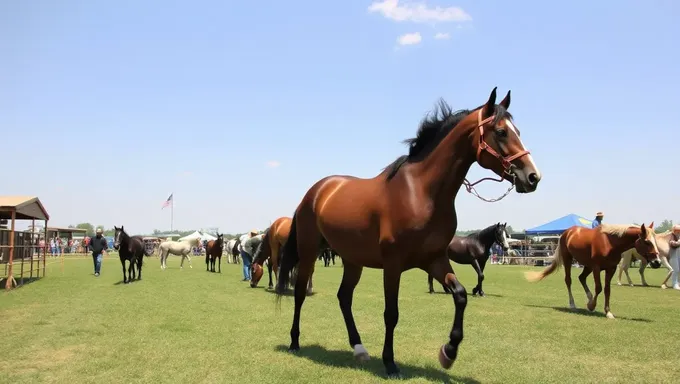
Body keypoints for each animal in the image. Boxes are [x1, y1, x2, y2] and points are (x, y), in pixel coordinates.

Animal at [272, 88, 540, 378]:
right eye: (501, 132)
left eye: (517, 131)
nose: (532, 176)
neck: (421, 193)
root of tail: (316, 191)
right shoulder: (393, 265)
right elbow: (391, 313)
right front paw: (390, 363)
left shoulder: (435, 260)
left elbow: (460, 295)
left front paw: (448, 352)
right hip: (310, 251)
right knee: (300, 292)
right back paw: (295, 341)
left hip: (352, 260)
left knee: (344, 297)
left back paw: (359, 348)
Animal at [524, 222, 660, 318]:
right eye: (647, 242)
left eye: (655, 241)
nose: (657, 262)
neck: (610, 243)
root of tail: (567, 232)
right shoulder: (596, 268)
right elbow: (598, 287)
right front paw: (591, 306)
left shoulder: (611, 269)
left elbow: (607, 289)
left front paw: (608, 312)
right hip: (568, 260)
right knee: (568, 280)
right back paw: (573, 304)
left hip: (587, 266)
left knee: (581, 277)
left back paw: (589, 297)